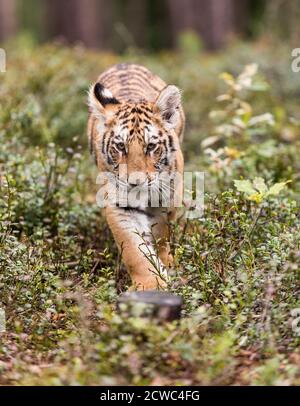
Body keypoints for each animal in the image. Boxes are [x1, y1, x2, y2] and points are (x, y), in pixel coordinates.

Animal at [87, 62, 185, 292]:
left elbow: (161, 235)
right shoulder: (118, 204)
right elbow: (134, 249)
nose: (135, 182)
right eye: (120, 146)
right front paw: (151, 285)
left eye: (151, 146)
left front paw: (165, 264)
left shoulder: (168, 198)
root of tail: (124, 64)